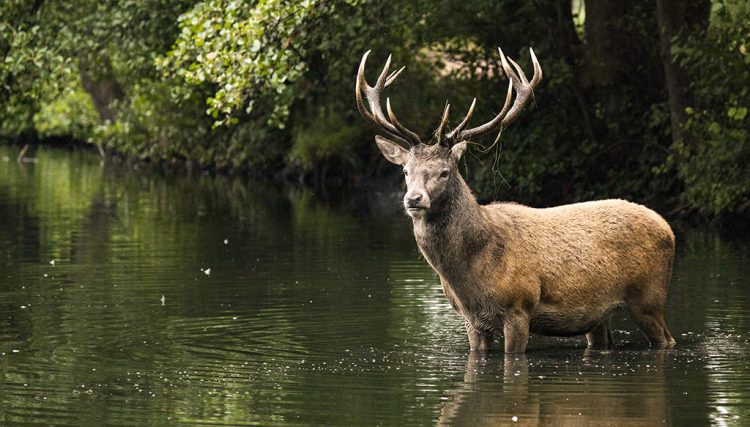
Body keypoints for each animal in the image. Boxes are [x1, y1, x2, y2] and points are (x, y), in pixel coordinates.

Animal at [355, 47, 677, 353]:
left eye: (444, 172)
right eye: (405, 171)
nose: (413, 199)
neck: (469, 275)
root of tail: (668, 228)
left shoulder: (518, 307)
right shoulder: (472, 321)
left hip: (649, 298)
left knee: (667, 339)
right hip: (599, 315)